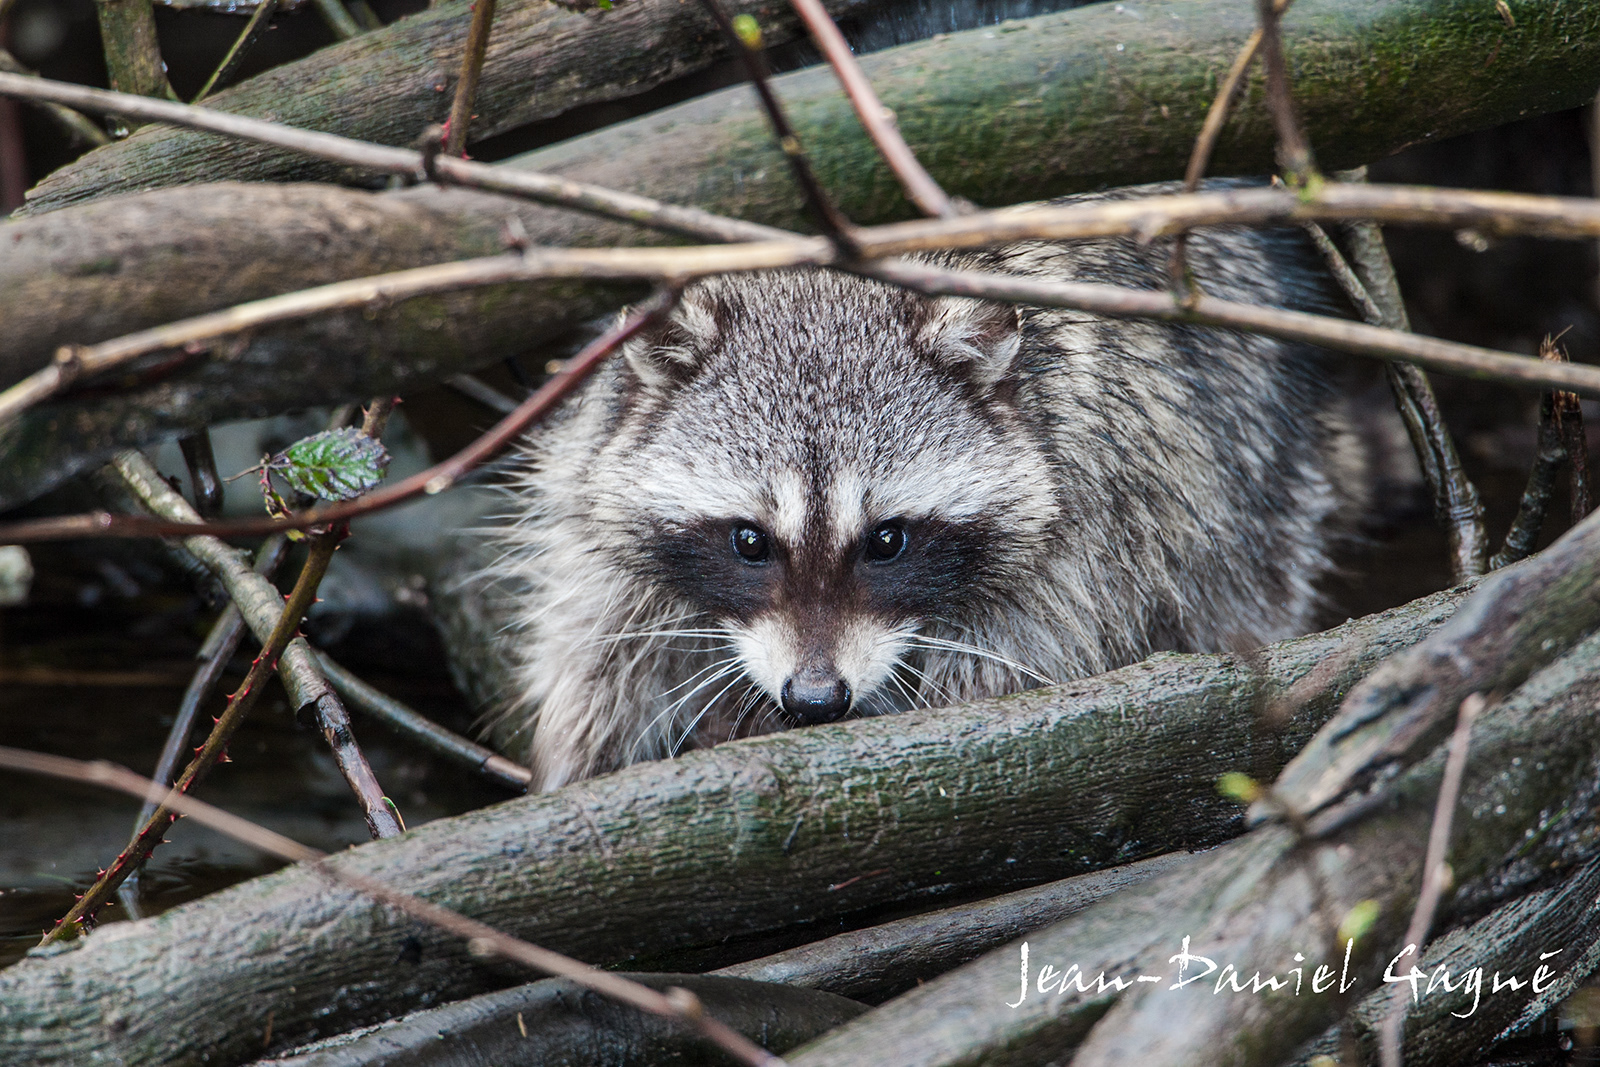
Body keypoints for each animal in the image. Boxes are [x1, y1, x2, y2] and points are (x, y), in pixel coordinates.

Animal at [482, 193, 1366, 792]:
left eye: (887, 539)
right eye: (749, 541)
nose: (815, 697)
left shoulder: (1098, 519)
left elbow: (1019, 667)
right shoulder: (599, 495)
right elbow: (603, 656)